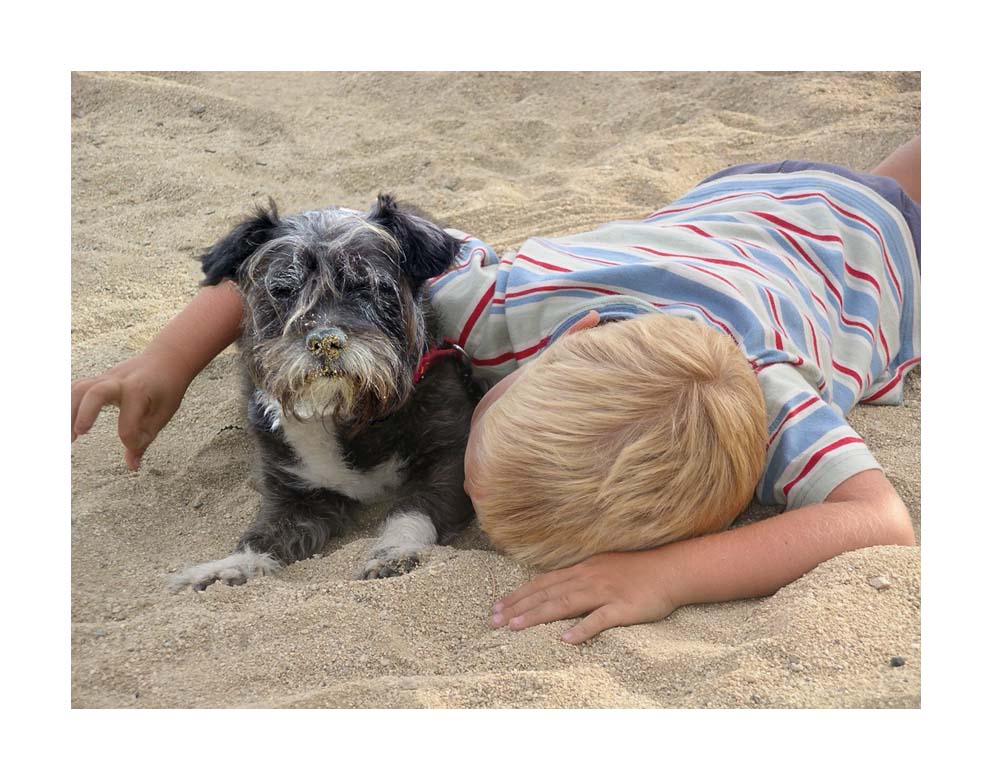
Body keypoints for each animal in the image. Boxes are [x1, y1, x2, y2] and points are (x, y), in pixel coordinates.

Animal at [170, 195, 480, 592]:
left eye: (366, 286)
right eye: (282, 290)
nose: (324, 341)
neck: (346, 410)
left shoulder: (448, 462)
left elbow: (411, 510)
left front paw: (394, 551)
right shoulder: (298, 494)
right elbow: (263, 536)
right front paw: (231, 566)